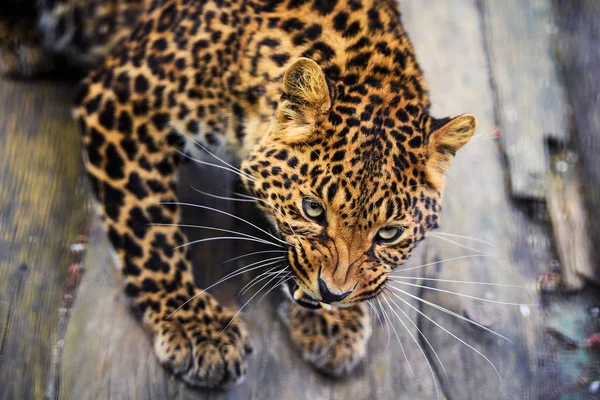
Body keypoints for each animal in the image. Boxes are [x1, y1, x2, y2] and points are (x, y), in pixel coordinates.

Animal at [1, 0, 478, 390]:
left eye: (389, 234)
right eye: (312, 209)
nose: (332, 294)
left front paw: (334, 322)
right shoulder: (119, 101)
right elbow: (150, 233)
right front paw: (195, 328)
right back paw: (19, 43)